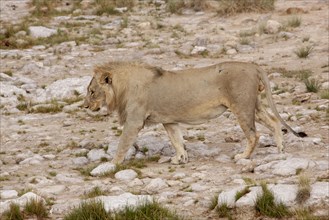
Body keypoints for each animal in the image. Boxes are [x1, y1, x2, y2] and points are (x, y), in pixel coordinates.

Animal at [83, 61, 304, 164]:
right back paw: (280, 150)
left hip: (241, 106)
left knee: (253, 134)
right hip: (253, 105)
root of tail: (253, 65)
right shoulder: (169, 120)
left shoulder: (134, 121)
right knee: (274, 122)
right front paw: (180, 159)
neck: (121, 88)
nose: (84, 106)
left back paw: (243, 156)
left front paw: (113, 163)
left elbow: (122, 144)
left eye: (92, 91)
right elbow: (176, 140)